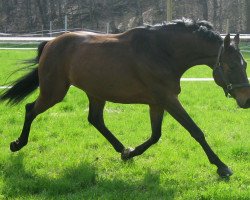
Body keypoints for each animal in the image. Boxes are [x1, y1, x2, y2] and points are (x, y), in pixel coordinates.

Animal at [0, 19, 250, 178]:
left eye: (244, 63)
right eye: (230, 66)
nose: (246, 100)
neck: (162, 52)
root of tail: (50, 44)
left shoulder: (157, 102)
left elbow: (155, 135)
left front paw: (131, 153)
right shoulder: (168, 99)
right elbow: (195, 131)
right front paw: (222, 167)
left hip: (95, 93)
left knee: (95, 120)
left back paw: (122, 149)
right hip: (54, 91)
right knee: (30, 109)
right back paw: (17, 144)